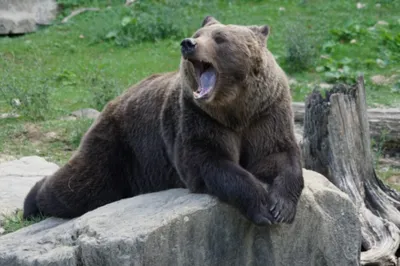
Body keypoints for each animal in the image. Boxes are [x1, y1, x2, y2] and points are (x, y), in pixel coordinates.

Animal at [22, 15, 304, 225]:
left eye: (220, 38)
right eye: (198, 33)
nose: (188, 43)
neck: (234, 109)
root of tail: (114, 101)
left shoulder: (266, 112)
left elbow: (278, 155)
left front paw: (281, 207)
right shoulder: (198, 118)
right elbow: (210, 161)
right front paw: (262, 206)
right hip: (120, 146)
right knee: (82, 186)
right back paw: (32, 202)